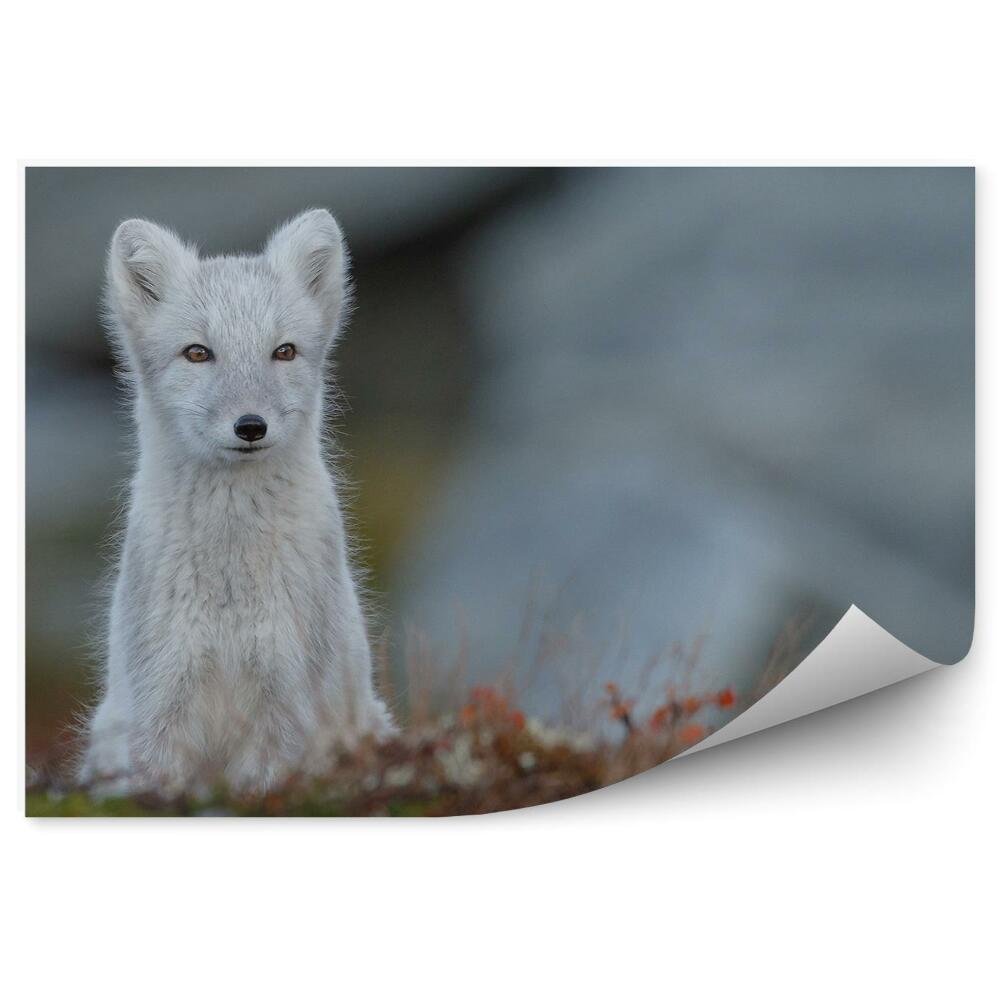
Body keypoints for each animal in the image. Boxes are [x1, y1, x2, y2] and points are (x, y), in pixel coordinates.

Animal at [78, 209, 395, 796]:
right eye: (198, 353)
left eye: (284, 351)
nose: (251, 426)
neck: (231, 580)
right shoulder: (161, 705)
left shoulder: (284, 704)